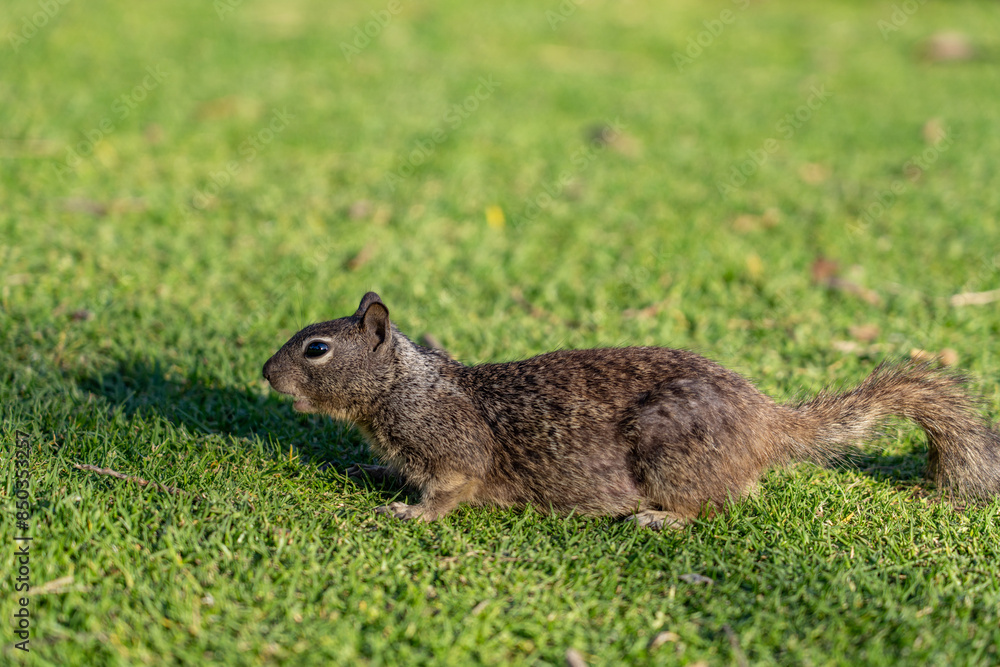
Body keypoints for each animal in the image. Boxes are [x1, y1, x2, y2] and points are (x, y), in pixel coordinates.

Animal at [262, 292, 1000, 528]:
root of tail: (768, 422)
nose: (266, 373)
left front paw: (409, 512)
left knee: (713, 504)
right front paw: (380, 474)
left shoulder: (455, 449)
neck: (405, 387)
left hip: (671, 456)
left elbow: (450, 489)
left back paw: (658, 520)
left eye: (317, 348)